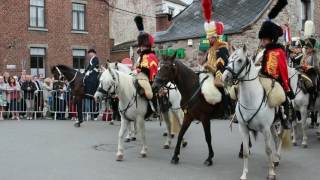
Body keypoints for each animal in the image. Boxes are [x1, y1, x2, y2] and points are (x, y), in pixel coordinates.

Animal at [222, 46, 288, 180]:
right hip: (272, 125)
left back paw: (277, 158)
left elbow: (268, 150)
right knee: (276, 139)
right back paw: (275, 160)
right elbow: (246, 151)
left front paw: (271, 173)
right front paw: (244, 174)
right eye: (229, 58)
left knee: (280, 138)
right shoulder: (243, 128)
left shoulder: (265, 128)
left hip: (280, 123)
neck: (251, 100)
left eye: (240, 60)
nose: (224, 77)